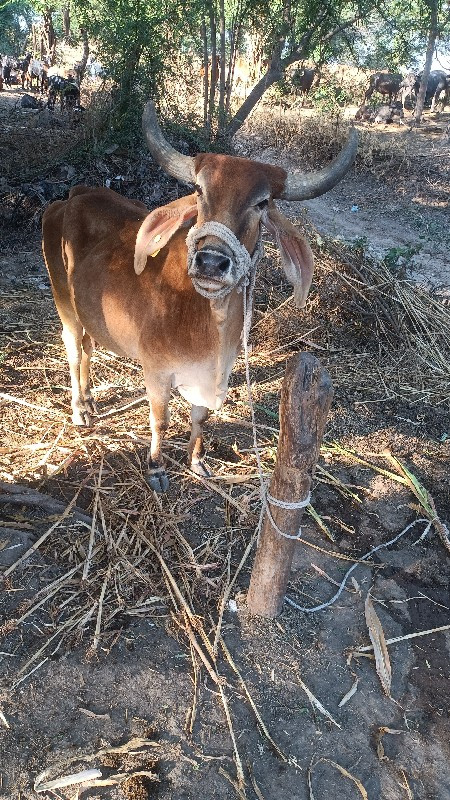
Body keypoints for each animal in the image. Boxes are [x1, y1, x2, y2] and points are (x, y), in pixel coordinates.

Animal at [42, 100, 358, 488]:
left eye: (262, 202)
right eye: (198, 190)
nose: (211, 261)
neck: (210, 323)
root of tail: (73, 196)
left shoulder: (216, 375)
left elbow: (200, 418)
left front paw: (196, 460)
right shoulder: (157, 371)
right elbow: (160, 421)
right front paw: (156, 467)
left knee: (88, 348)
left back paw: (89, 399)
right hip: (63, 303)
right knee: (73, 351)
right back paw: (79, 410)